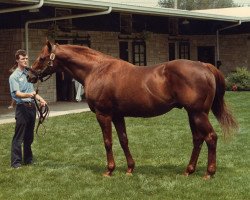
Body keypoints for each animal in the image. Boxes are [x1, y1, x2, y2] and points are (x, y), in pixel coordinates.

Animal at [26, 41, 237, 179]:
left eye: (42, 58)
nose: (29, 76)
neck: (97, 70)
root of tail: (205, 66)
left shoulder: (104, 115)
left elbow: (108, 142)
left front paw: (109, 170)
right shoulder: (118, 116)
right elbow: (123, 140)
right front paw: (129, 168)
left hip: (198, 114)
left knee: (211, 138)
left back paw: (209, 173)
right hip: (193, 114)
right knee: (198, 139)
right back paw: (188, 170)